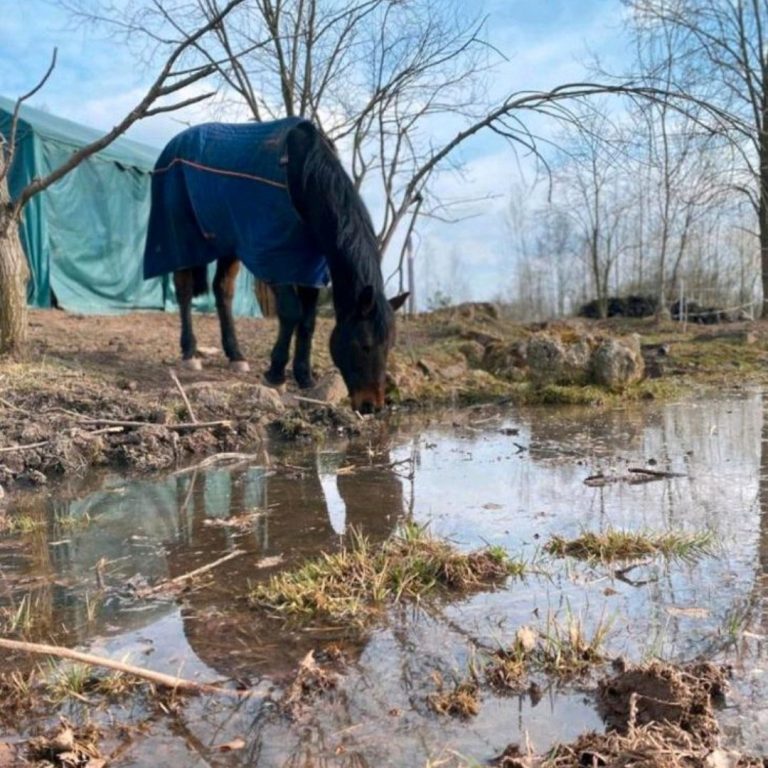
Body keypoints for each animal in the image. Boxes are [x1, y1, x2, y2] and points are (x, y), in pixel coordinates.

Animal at [143, 118, 408, 414]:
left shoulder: (308, 268)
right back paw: (189, 353)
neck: (303, 174)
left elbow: (308, 322)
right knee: (185, 290)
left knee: (222, 290)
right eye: (364, 345)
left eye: (390, 346)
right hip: (182, 239)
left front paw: (304, 377)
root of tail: (174, 143)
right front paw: (276, 374)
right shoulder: (274, 258)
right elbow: (291, 314)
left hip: (229, 242)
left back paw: (236, 356)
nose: (371, 406)